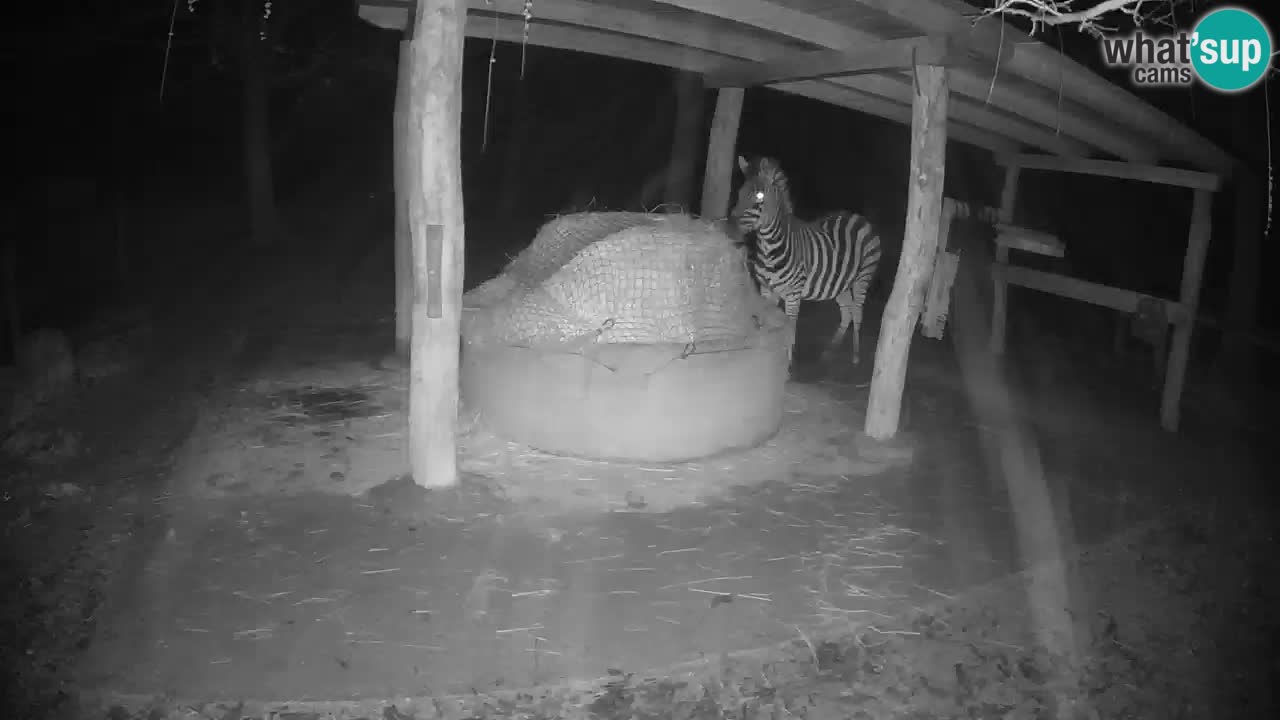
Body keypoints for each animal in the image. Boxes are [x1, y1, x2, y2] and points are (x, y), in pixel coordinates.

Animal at [731, 155, 883, 371]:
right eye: (739, 192)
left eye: (759, 196)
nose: (730, 228)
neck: (769, 248)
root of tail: (859, 217)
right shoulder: (766, 290)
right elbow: (764, 324)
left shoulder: (793, 295)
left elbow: (790, 328)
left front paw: (787, 364)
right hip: (840, 283)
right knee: (847, 312)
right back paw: (830, 351)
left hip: (863, 277)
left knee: (857, 312)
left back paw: (855, 356)